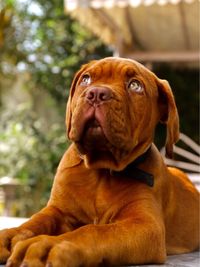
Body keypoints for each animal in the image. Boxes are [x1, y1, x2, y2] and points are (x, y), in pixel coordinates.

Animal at [0, 58, 198, 267]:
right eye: (86, 79)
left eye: (135, 85)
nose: (96, 93)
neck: (101, 170)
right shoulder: (58, 210)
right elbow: (36, 220)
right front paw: (10, 236)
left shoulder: (146, 225)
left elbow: (93, 231)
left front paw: (49, 245)